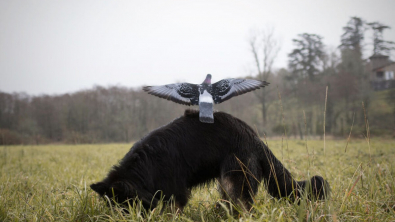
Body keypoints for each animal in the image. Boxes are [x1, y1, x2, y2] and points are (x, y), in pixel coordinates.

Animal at [91, 109, 330, 212]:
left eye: (125, 207)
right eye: (113, 207)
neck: (146, 165)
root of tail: (255, 138)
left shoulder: (176, 192)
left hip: (235, 177)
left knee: (245, 206)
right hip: (226, 180)